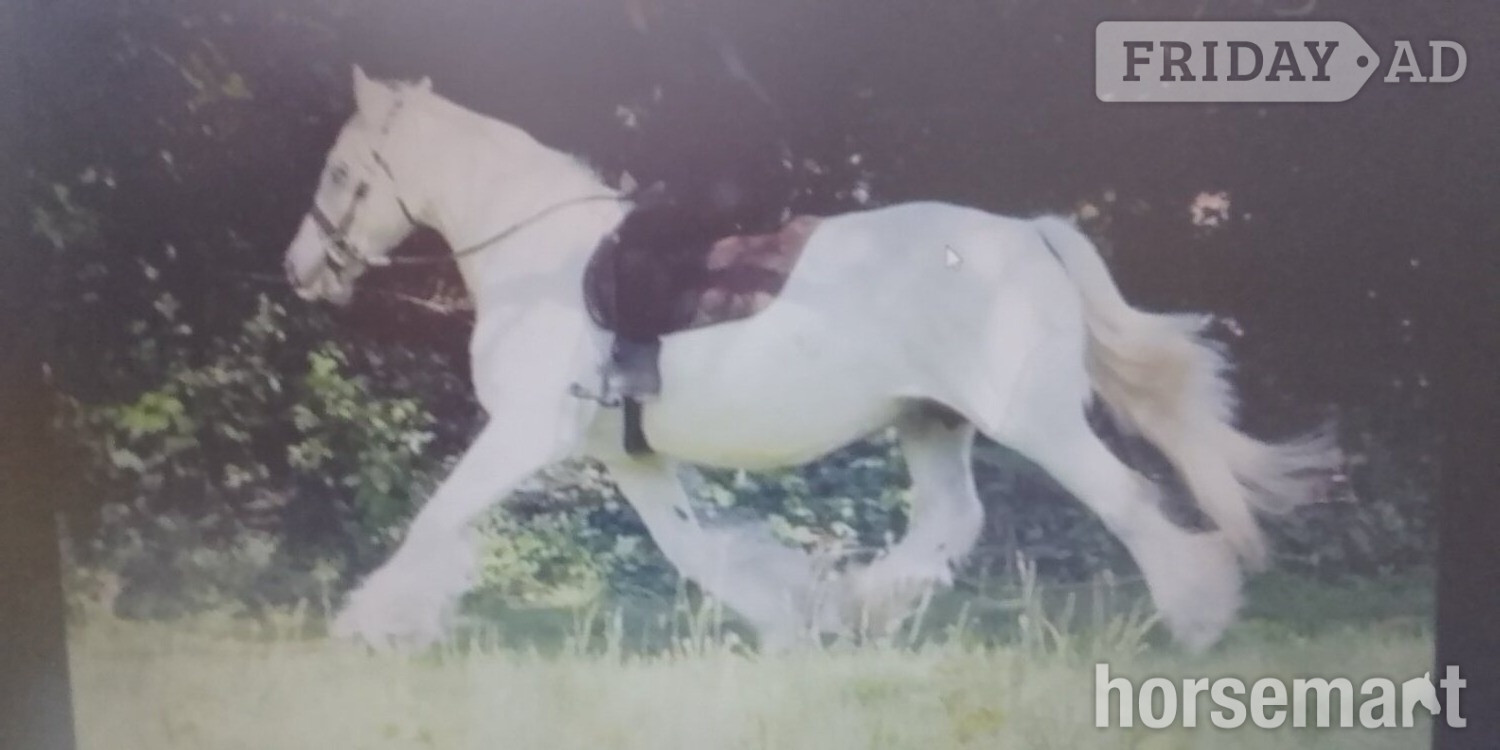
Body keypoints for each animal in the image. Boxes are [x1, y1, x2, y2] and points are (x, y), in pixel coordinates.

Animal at [283, 67, 1338, 651]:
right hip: (932, 421)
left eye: (339, 171)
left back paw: (1199, 616)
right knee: (952, 520)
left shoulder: (522, 435)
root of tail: (1027, 234)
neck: (540, 261)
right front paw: (795, 618)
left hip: (1030, 418)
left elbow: (435, 519)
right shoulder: (630, 459)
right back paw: (862, 609)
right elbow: (699, 549)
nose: (301, 269)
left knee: (1127, 501)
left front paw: (372, 625)